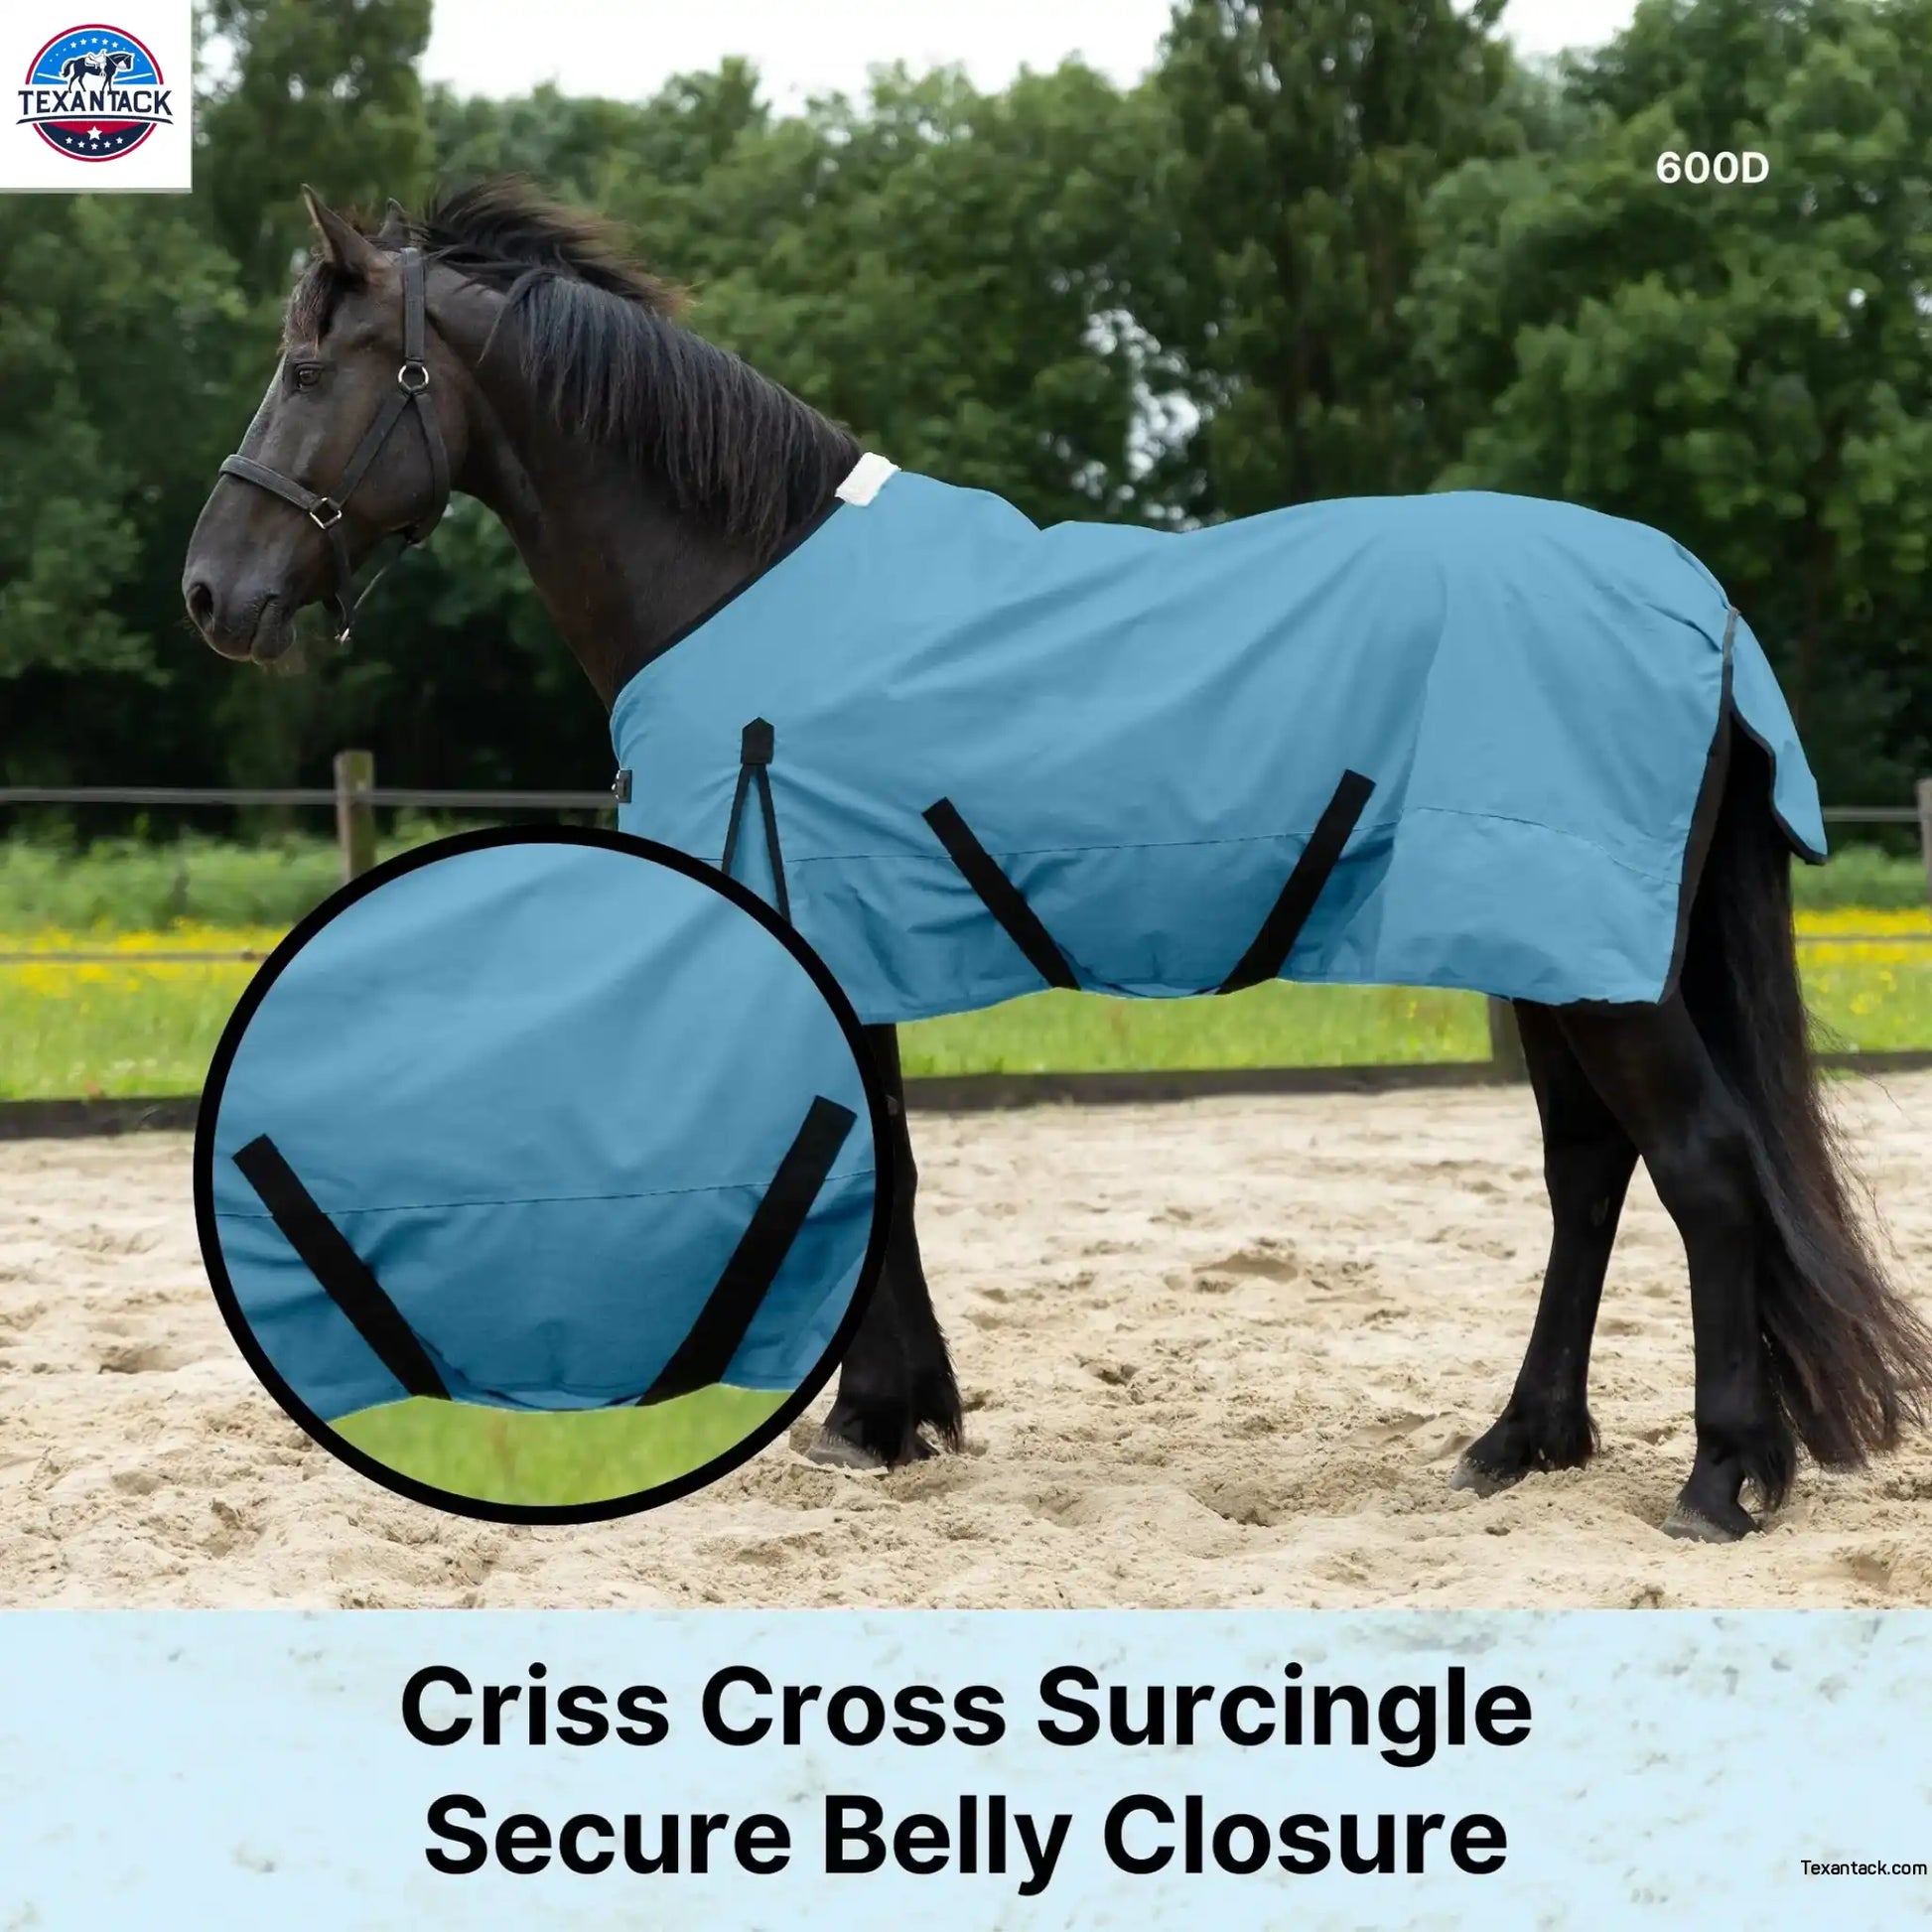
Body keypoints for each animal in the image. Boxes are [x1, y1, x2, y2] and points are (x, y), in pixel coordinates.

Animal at [182, 180, 1932, 1542]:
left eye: (306, 366)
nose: (212, 593)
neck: (739, 577)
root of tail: (1698, 606)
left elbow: (866, 1159)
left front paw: (869, 1419)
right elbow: (884, 1151)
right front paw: (902, 1415)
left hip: (1593, 963)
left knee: (1701, 1167)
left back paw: (1719, 1478)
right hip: (1553, 951)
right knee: (1589, 1175)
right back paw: (1518, 1445)